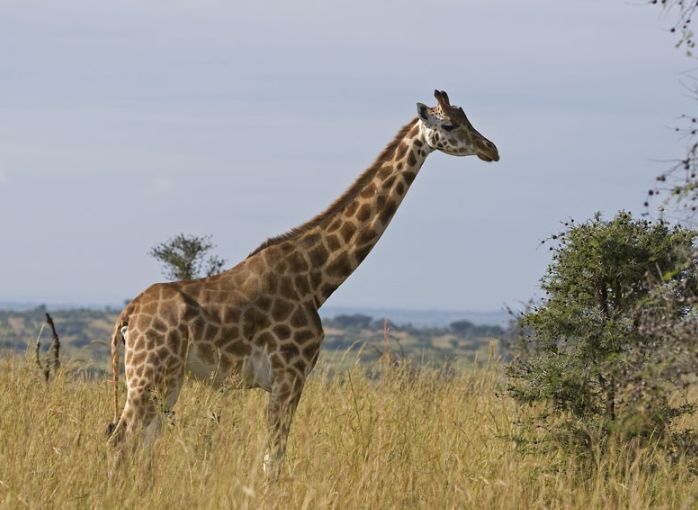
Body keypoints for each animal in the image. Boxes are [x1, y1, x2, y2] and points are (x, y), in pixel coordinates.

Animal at [106, 89, 499, 479]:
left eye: (466, 118)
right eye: (449, 124)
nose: (491, 148)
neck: (315, 277)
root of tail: (129, 314)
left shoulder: (286, 379)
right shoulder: (289, 375)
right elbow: (273, 460)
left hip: (167, 378)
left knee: (141, 444)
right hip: (149, 373)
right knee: (119, 440)